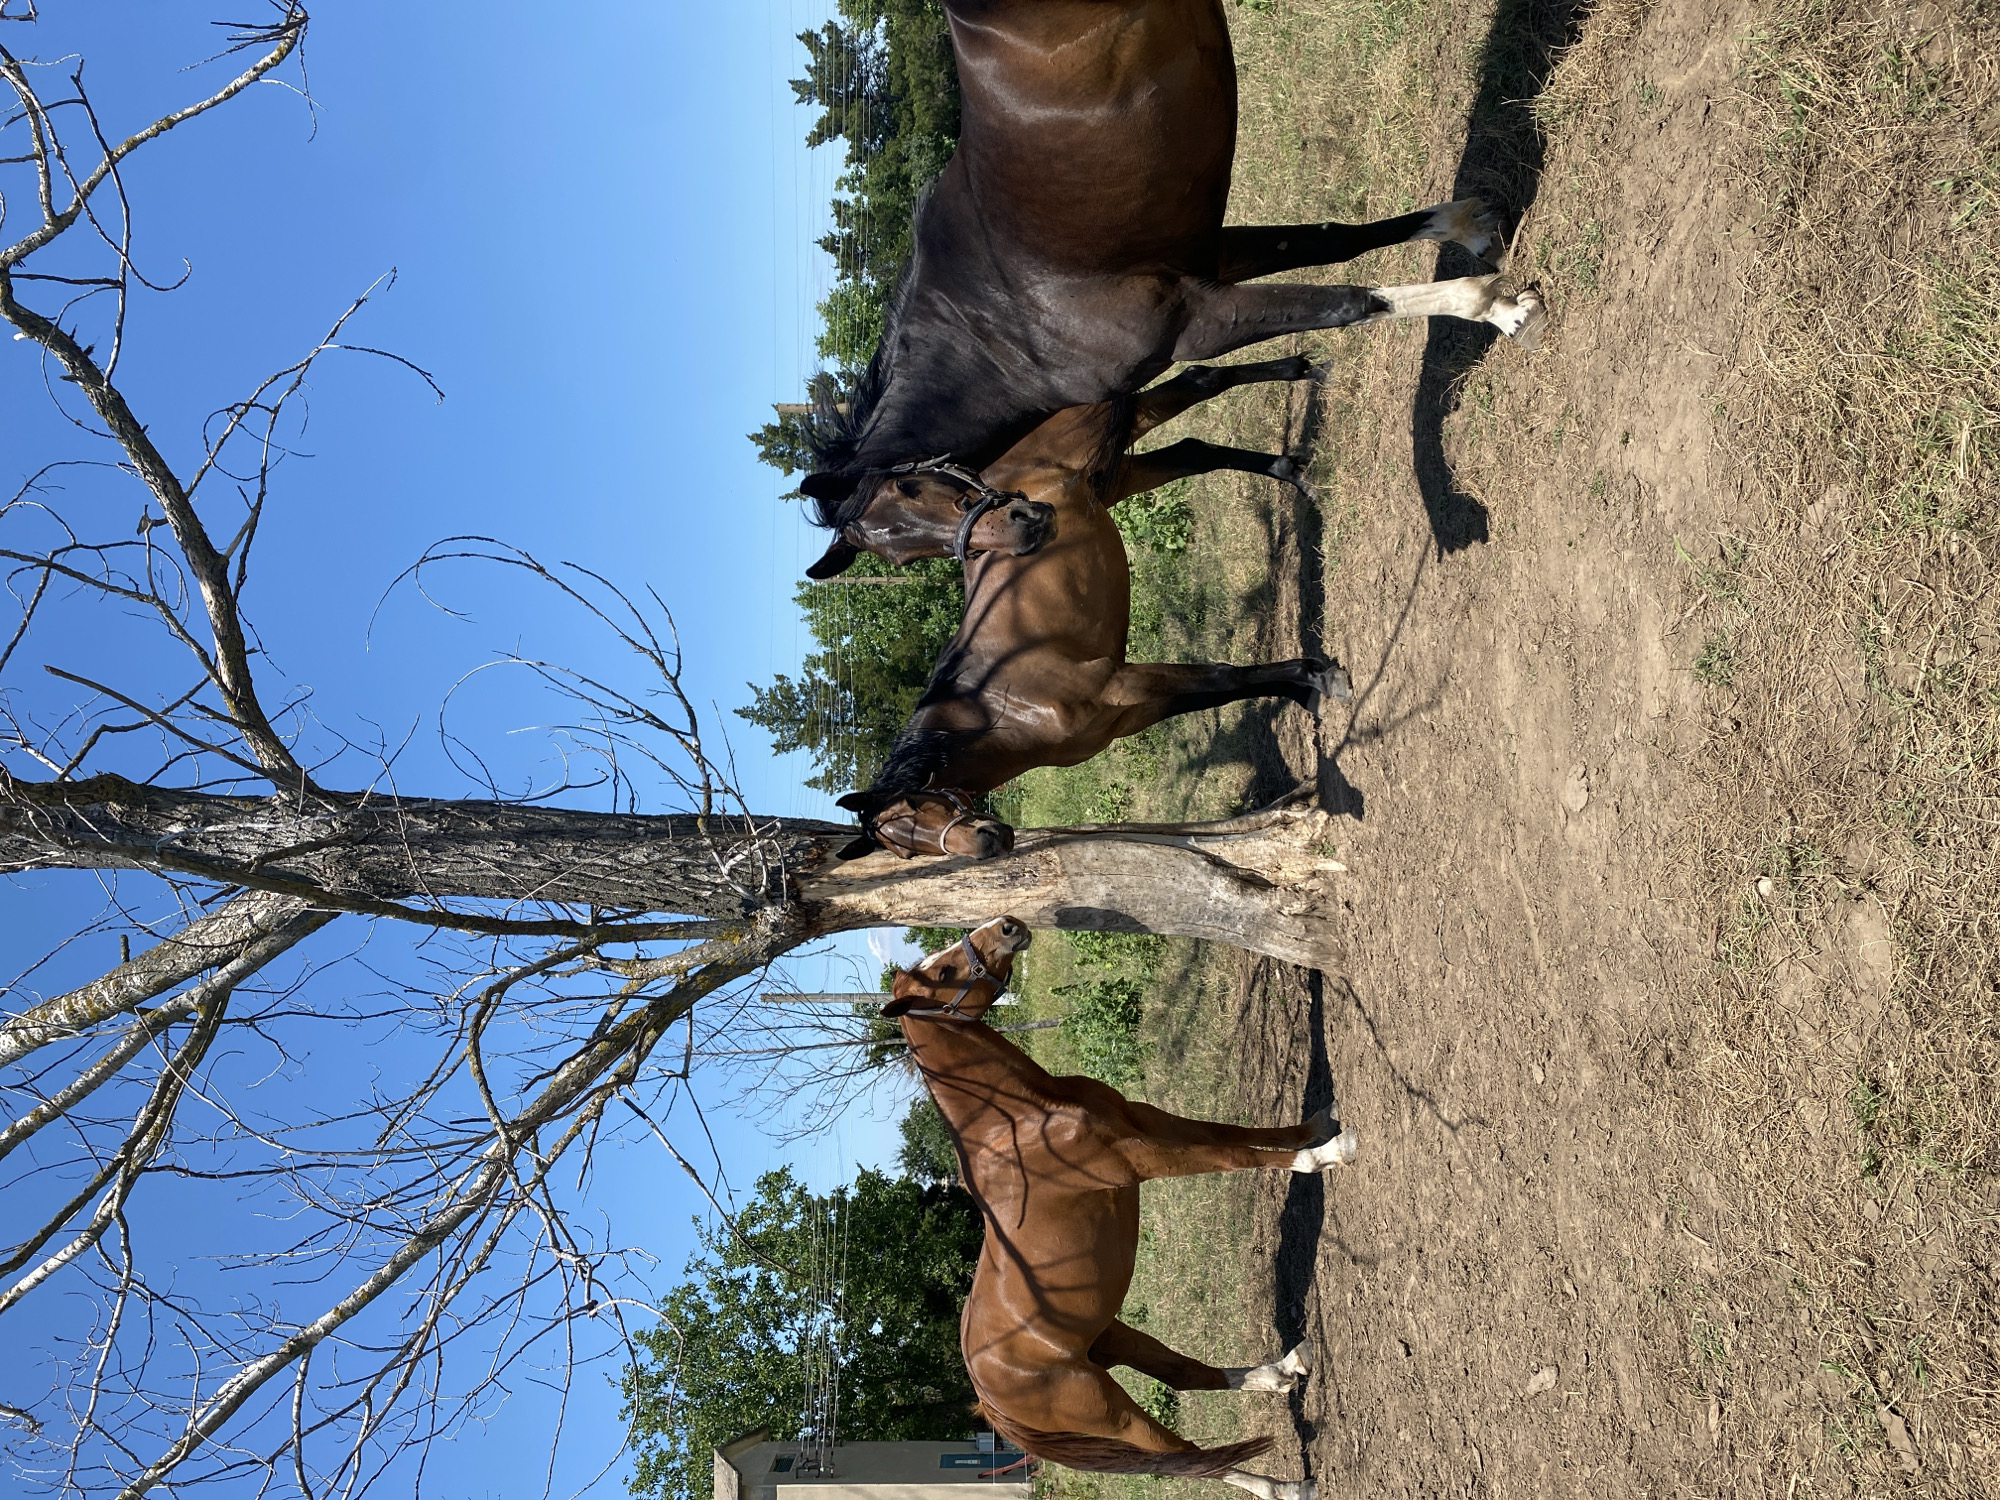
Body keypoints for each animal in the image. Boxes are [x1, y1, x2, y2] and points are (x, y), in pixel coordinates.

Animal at [805, 356, 1317, 579]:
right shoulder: (1111, 477)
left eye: (909, 487)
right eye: (908, 558)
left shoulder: (1111, 422)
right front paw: (1290, 469)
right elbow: (1195, 453)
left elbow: (1203, 379)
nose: (1027, 527)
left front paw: (1303, 370)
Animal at [833, 395, 1342, 860]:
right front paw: (1306, 691)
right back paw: (1296, 472)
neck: (1003, 706)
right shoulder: (1133, 710)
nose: (987, 844)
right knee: (1192, 452)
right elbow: (1222, 691)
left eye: (918, 803)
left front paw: (1321, 677)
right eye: (905, 852)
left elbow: (1225, 677)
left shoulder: (1121, 683)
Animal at [886, 916, 1356, 1500]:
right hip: (1109, 1412)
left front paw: (1320, 1121)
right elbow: (1233, 1153)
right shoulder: (1141, 1158)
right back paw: (1289, 1486)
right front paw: (1325, 1153)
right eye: (945, 973)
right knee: (1191, 1459)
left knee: (1190, 1377)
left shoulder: (1148, 1121)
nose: (1008, 926)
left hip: (1114, 1339)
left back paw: (1286, 1368)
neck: (1023, 1121)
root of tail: (988, 1397)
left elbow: (1233, 1134)